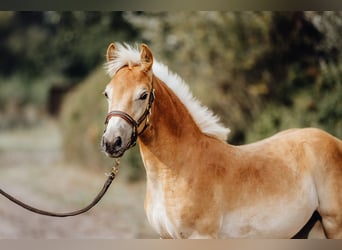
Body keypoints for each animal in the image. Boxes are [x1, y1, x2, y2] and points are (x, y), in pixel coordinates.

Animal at [101, 42, 342, 238]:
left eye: (143, 95)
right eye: (107, 93)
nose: (112, 142)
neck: (179, 169)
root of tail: (334, 141)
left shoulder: (201, 237)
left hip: (334, 225)